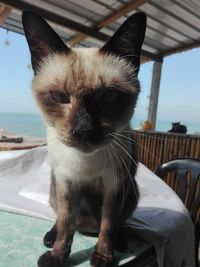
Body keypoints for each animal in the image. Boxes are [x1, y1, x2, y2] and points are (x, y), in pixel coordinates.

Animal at [22, 11, 147, 267]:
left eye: (110, 97)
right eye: (59, 97)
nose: (84, 130)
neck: (85, 162)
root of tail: (88, 228)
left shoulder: (114, 186)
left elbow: (108, 226)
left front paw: (102, 257)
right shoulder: (67, 183)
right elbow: (66, 224)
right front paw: (57, 257)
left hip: (132, 191)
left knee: (116, 224)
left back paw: (120, 241)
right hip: (54, 188)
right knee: (61, 218)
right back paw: (50, 237)